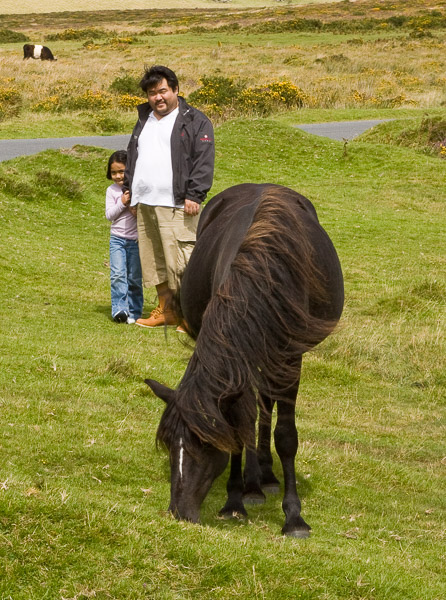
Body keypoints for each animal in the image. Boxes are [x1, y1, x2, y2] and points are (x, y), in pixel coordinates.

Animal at [146, 184, 344, 540]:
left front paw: (294, 516)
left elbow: (286, 436)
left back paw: (266, 474)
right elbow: (240, 422)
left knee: (266, 404)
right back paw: (254, 482)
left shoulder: (290, 359)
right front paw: (235, 499)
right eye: (168, 443)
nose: (179, 512)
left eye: (206, 444)